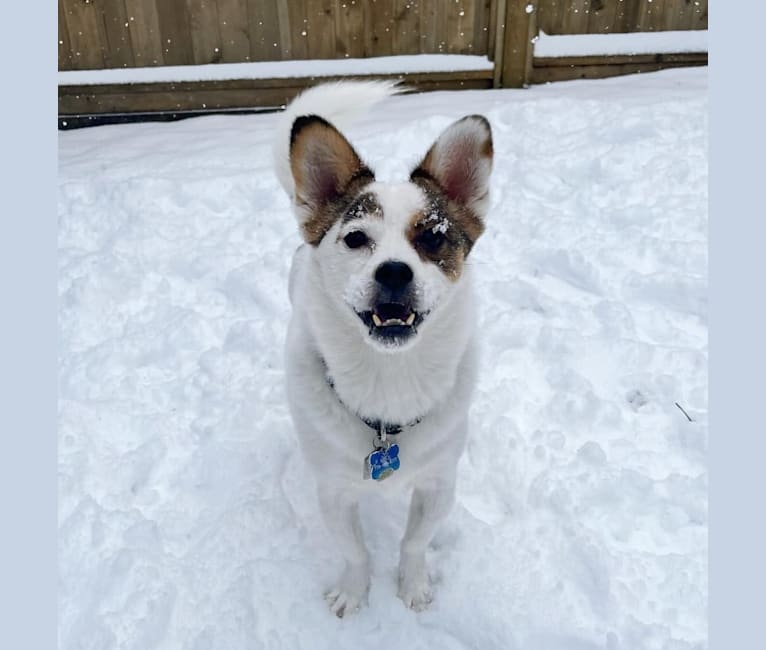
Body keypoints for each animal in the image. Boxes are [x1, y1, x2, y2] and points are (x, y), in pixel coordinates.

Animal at [272, 79, 496, 612]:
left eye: (433, 237)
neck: (389, 379)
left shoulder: (439, 481)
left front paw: (412, 585)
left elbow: (414, 542)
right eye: (355, 238)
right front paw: (353, 593)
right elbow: (354, 550)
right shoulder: (334, 491)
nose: (394, 272)